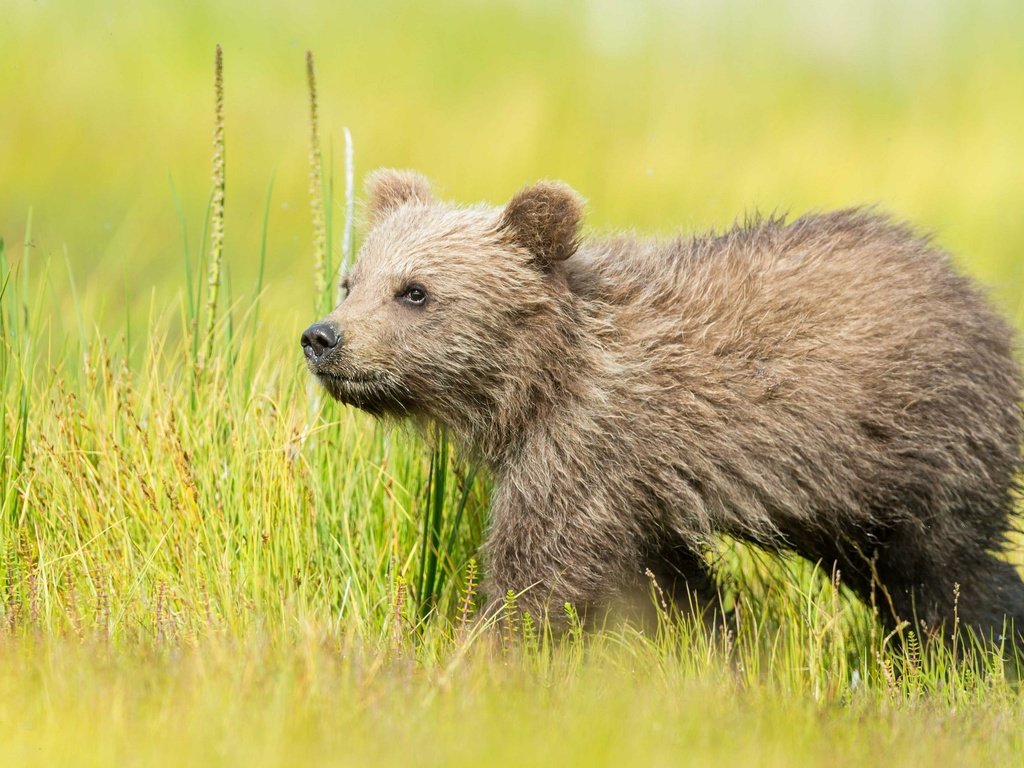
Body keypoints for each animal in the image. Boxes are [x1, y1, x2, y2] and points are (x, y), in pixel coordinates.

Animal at [299, 171, 1019, 647]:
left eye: (415, 291)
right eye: (351, 281)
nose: (322, 338)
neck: (537, 383)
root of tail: (981, 299)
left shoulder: (585, 449)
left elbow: (536, 577)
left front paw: (470, 656)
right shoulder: (635, 496)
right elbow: (668, 589)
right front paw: (713, 647)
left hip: (918, 447)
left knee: (944, 576)